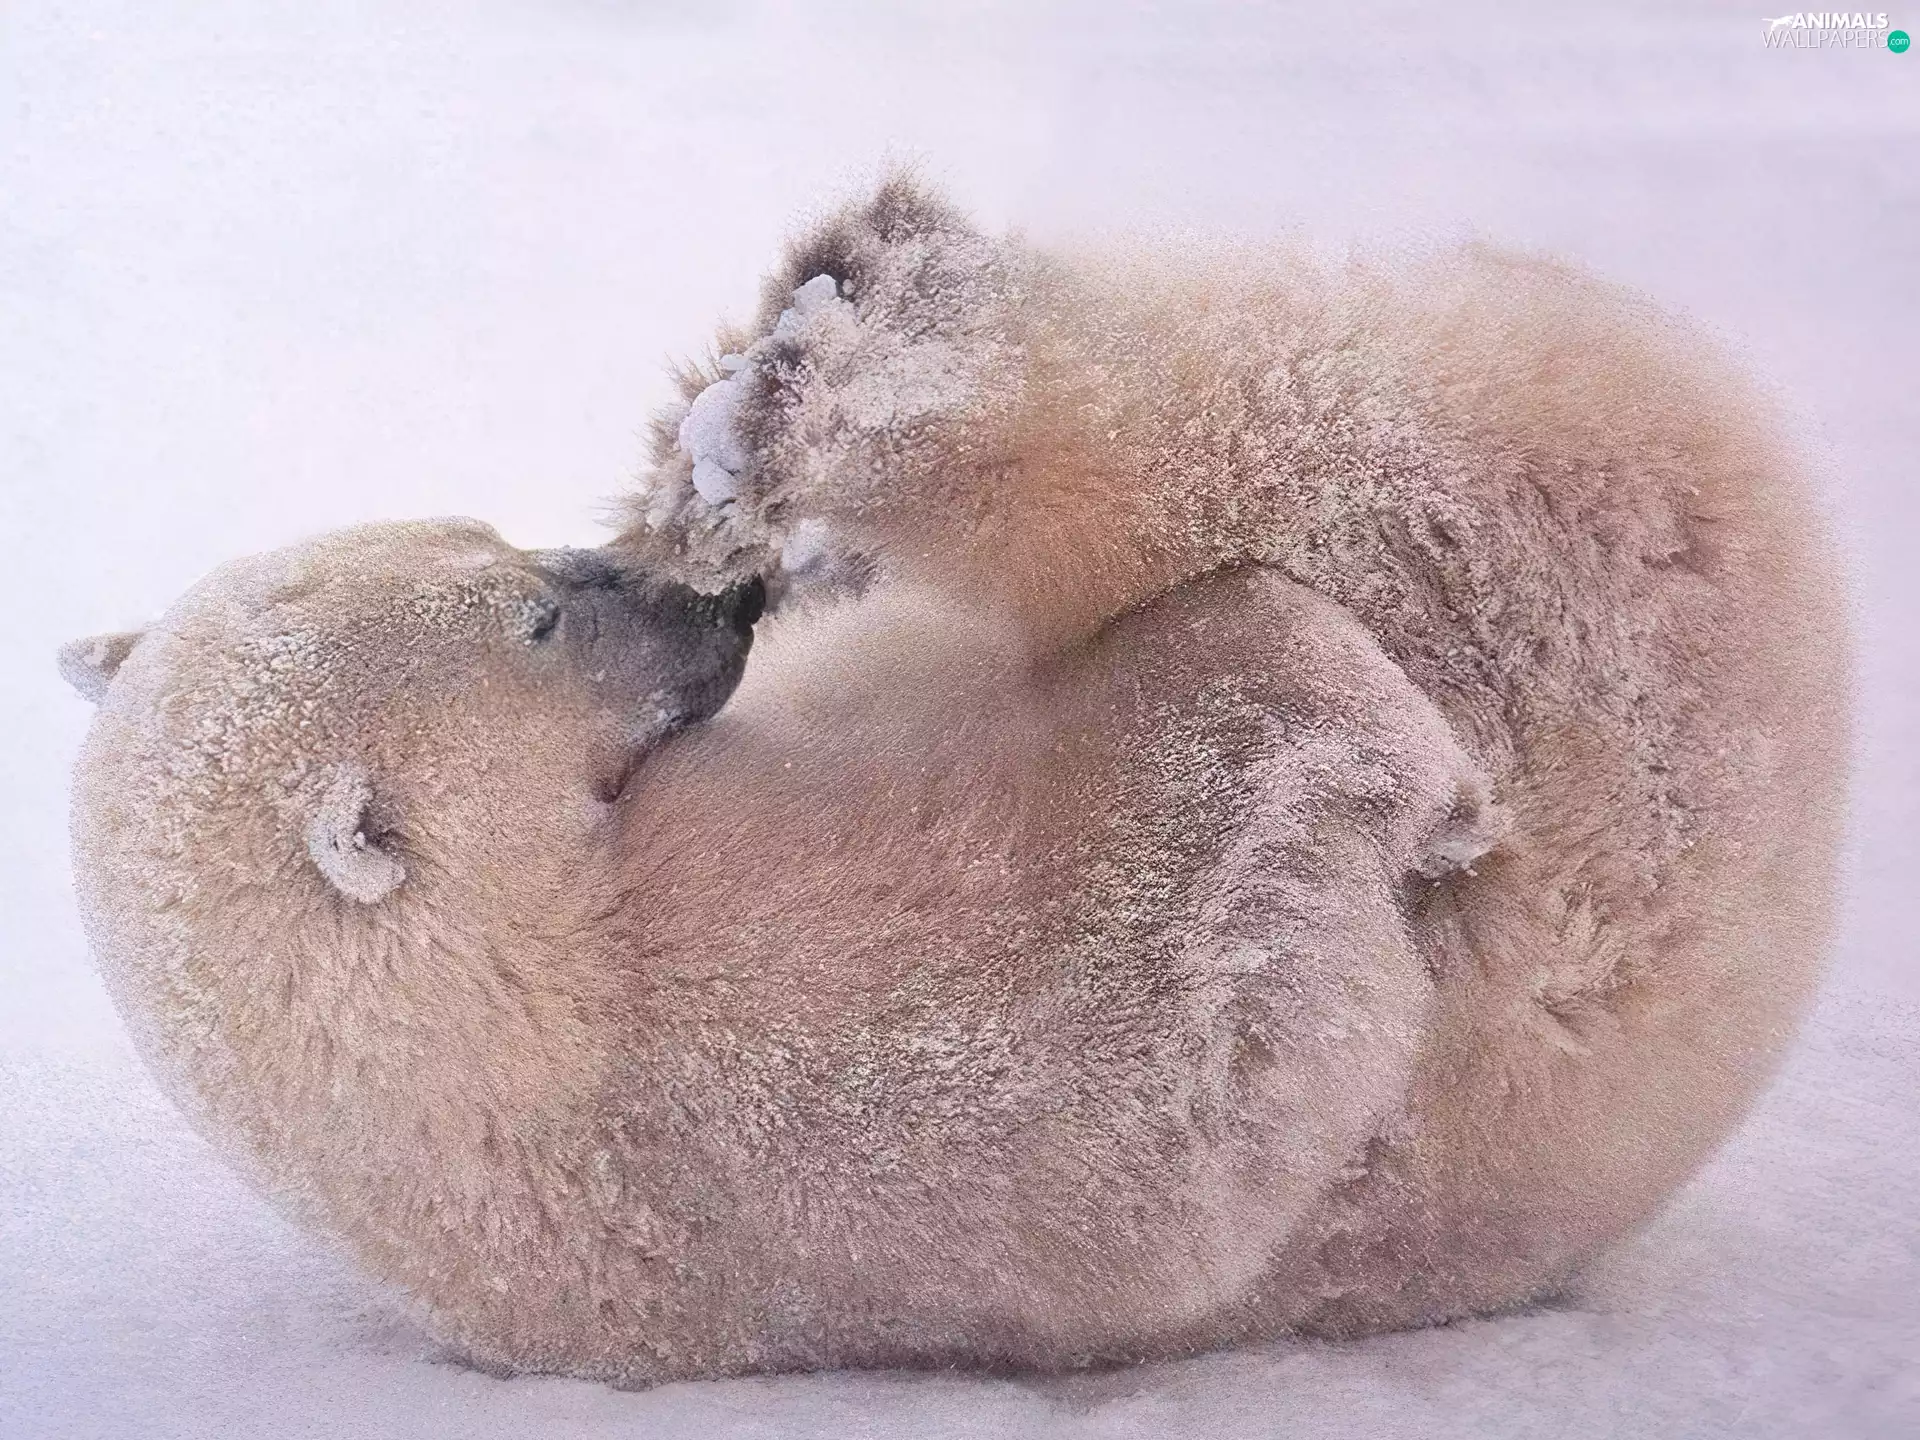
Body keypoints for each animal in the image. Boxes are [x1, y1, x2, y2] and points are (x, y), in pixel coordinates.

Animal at [61, 176, 1847, 1385]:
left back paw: (785, 366)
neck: (497, 1024)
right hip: (1610, 650)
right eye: (543, 620)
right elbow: (1151, 1028)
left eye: (486, 539)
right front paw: (1341, 729)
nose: (717, 608)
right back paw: (834, 360)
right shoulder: (763, 1063)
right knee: (1323, 434)